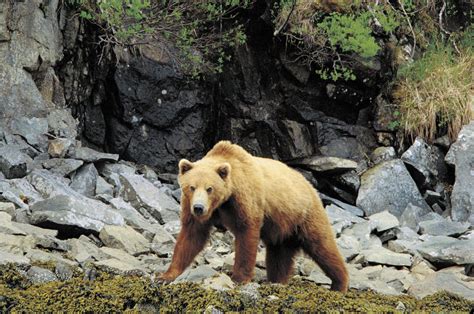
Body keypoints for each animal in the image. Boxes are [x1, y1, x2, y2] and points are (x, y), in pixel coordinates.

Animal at [159, 141, 348, 290]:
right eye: (191, 187)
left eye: (209, 188)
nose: (198, 207)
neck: (223, 201)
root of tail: (310, 185)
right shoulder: (194, 208)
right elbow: (191, 236)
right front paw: (166, 275)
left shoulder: (245, 199)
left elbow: (246, 233)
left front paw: (239, 278)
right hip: (282, 228)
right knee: (279, 256)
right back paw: (277, 280)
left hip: (305, 215)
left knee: (322, 246)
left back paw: (339, 283)